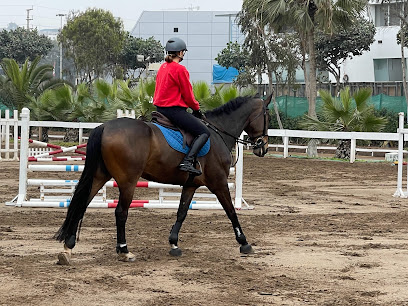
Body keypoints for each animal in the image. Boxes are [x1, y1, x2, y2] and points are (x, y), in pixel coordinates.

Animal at [54, 94, 270, 264]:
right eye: (267, 115)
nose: (263, 147)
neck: (218, 133)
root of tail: (105, 127)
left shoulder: (191, 185)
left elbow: (182, 212)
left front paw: (174, 243)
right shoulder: (219, 183)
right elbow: (231, 211)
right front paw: (244, 242)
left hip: (100, 176)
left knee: (81, 204)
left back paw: (68, 248)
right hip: (128, 181)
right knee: (120, 212)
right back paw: (124, 250)